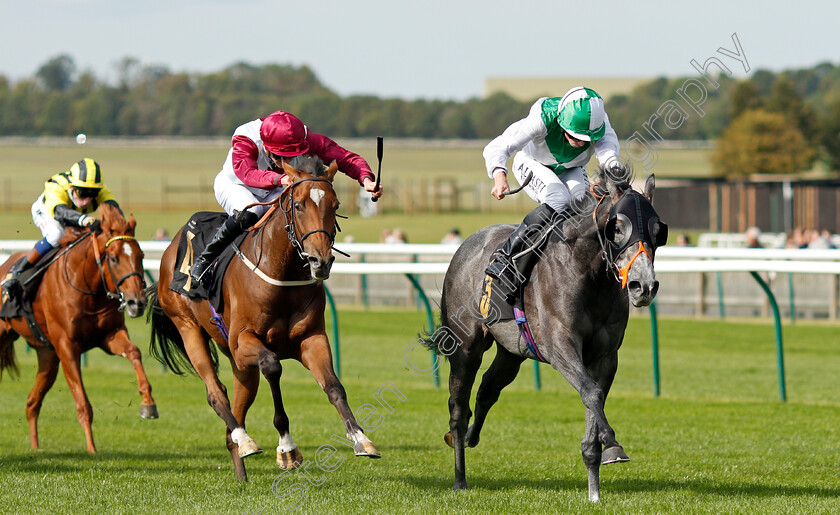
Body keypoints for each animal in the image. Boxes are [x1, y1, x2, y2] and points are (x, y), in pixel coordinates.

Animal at [0, 204, 157, 454]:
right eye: (114, 258)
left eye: (141, 256)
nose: (137, 302)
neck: (87, 288)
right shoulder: (67, 348)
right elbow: (83, 404)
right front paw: (91, 449)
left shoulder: (109, 336)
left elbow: (134, 352)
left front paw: (148, 403)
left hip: (48, 357)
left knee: (32, 403)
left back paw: (35, 447)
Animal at [147, 157, 378, 484]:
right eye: (298, 205)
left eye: (335, 204)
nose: (320, 261)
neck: (282, 272)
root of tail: (170, 249)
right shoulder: (244, 340)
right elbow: (273, 366)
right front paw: (287, 448)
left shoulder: (311, 339)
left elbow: (334, 386)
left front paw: (361, 439)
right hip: (189, 327)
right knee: (216, 394)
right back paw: (245, 440)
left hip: (241, 365)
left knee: (235, 411)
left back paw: (241, 468)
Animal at [430, 171, 668, 502]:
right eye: (617, 228)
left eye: (658, 230)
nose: (643, 286)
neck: (587, 273)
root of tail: (467, 244)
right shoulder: (560, 346)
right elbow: (592, 392)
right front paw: (613, 445)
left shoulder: (606, 356)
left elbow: (594, 397)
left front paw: (595, 487)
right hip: (466, 348)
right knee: (458, 408)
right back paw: (459, 476)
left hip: (512, 352)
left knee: (488, 390)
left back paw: (467, 437)